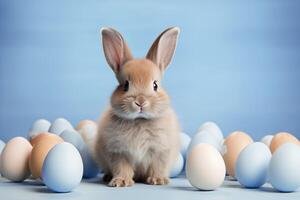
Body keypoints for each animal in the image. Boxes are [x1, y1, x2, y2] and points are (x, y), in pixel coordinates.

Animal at [94, 27, 180, 187]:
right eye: (125, 85)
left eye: (155, 85)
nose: (140, 101)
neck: (139, 120)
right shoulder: (118, 153)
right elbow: (122, 168)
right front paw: (121, 182)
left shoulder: (161, 151)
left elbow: (157, 166)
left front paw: (158, 180)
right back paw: (108, 177)